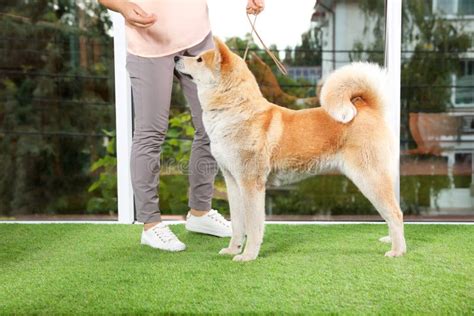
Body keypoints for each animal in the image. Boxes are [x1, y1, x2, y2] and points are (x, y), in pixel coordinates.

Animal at [175, 37, 408, 262]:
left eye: (199, 59)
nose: (177, 56)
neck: (234, 110)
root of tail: (367, 107)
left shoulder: (251, 184)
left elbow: (253, 226)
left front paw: (248, 256)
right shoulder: (233, 182)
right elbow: (238, 225)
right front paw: (233, 249)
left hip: (370, 177)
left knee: (396, 213)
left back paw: (397, 251)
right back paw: (390, 242)